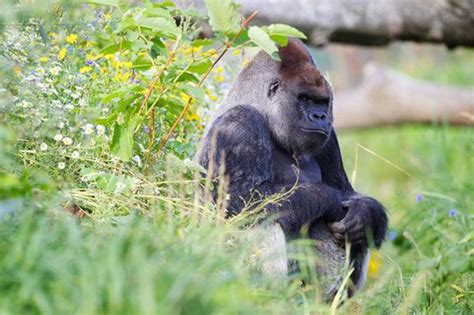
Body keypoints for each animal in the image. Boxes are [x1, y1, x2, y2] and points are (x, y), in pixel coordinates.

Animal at [196, 38, 388, 298]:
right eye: (304, 99)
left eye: (323, 102)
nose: (320, 116)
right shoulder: (238, 124)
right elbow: (239, 202)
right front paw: (327, 197)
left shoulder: (329, 139)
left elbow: (349, 194)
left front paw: (363, 213)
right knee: (263, 220)